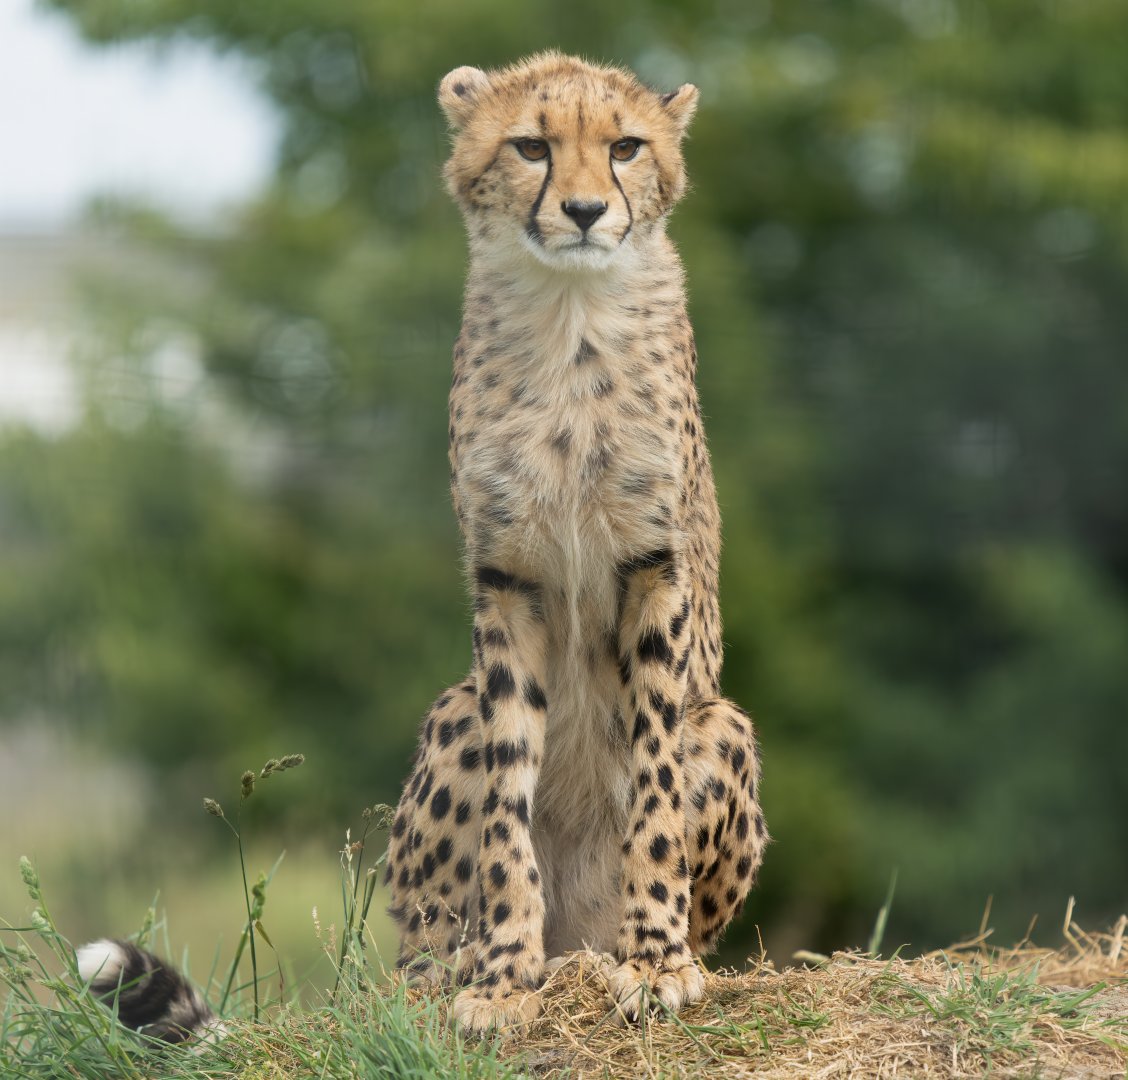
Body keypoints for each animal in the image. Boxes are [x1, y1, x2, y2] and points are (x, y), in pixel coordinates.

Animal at [384, 51, 769, 1036]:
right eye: (532, 146)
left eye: (626, 147)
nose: (588, 210)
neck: (571, 317)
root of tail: (578, 941)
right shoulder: (506, 576)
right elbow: (505, 800)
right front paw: (501, 977)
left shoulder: (653, 567)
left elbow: (656, 783)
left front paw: (656, 959)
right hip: (451, 714)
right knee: (411, 944)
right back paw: (459, 969)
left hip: (726, 727)